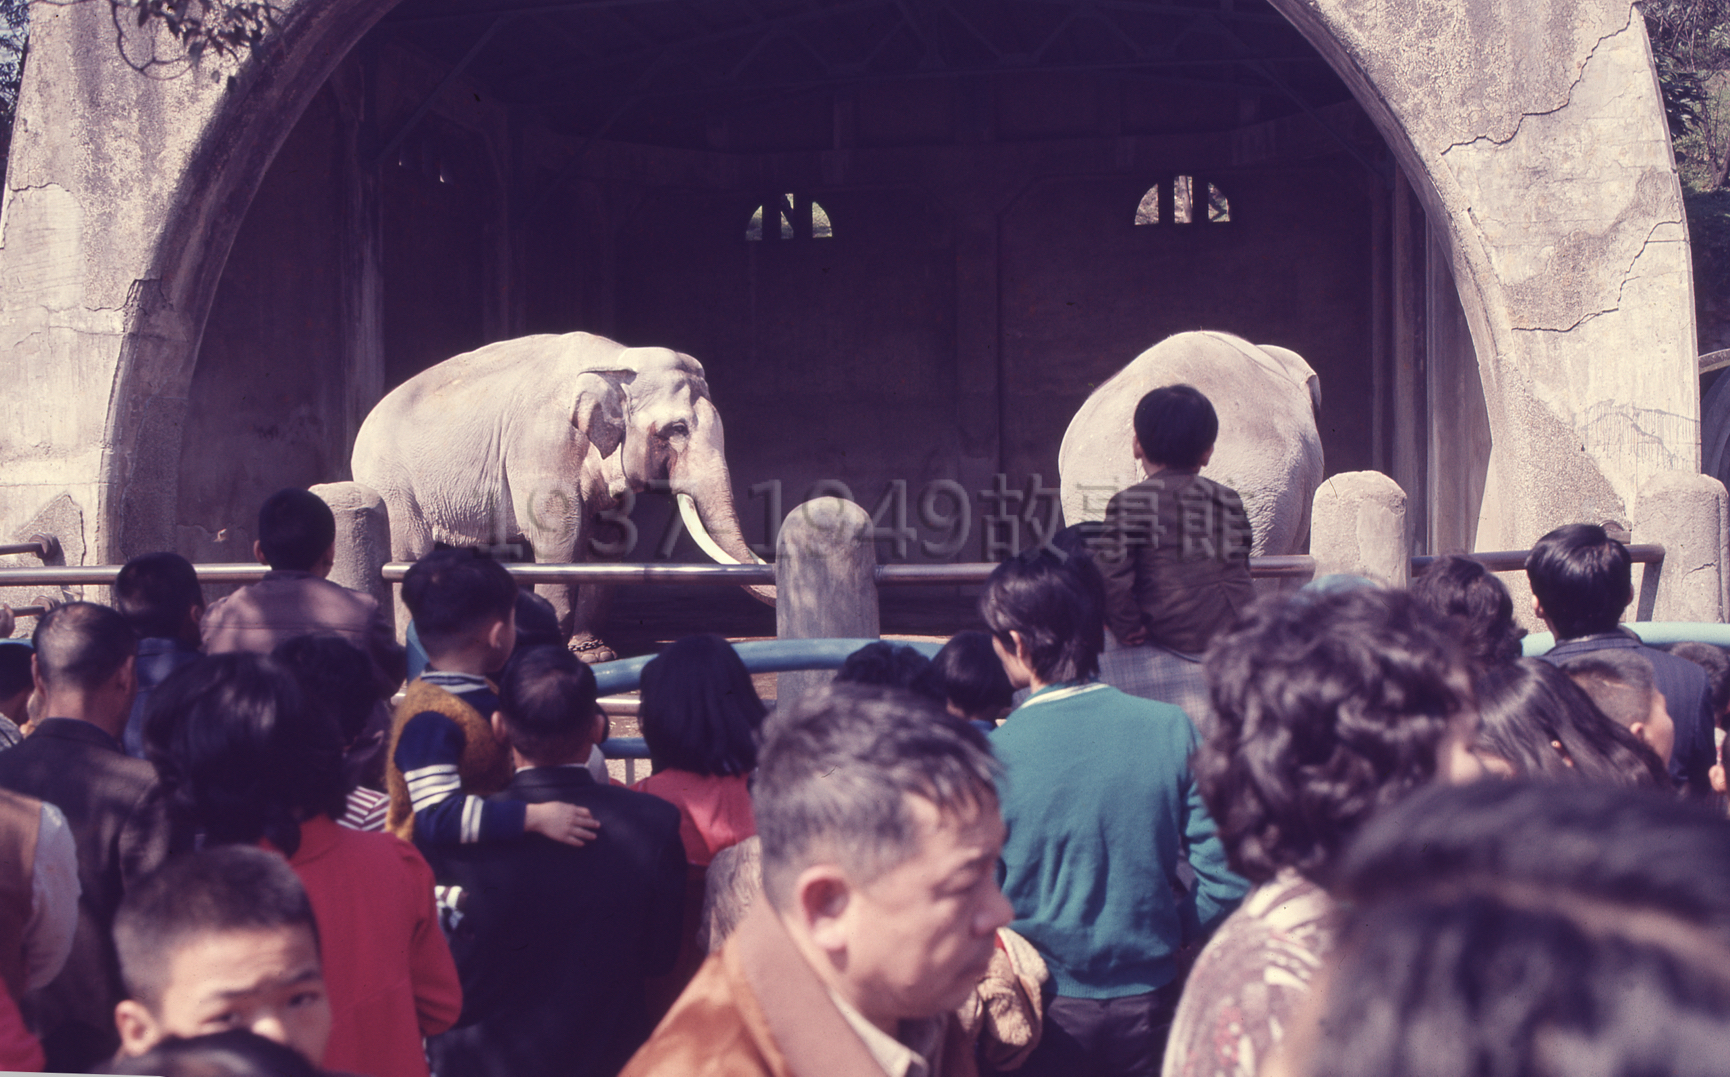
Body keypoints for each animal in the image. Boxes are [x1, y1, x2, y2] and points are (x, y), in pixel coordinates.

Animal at [351, 333, 771, 660]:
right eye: (677, 428)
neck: (616, 363)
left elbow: (608, 542)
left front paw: (594, 654)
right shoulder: (542, 442)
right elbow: (558, 538)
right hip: (391, 483)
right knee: (407, 552)